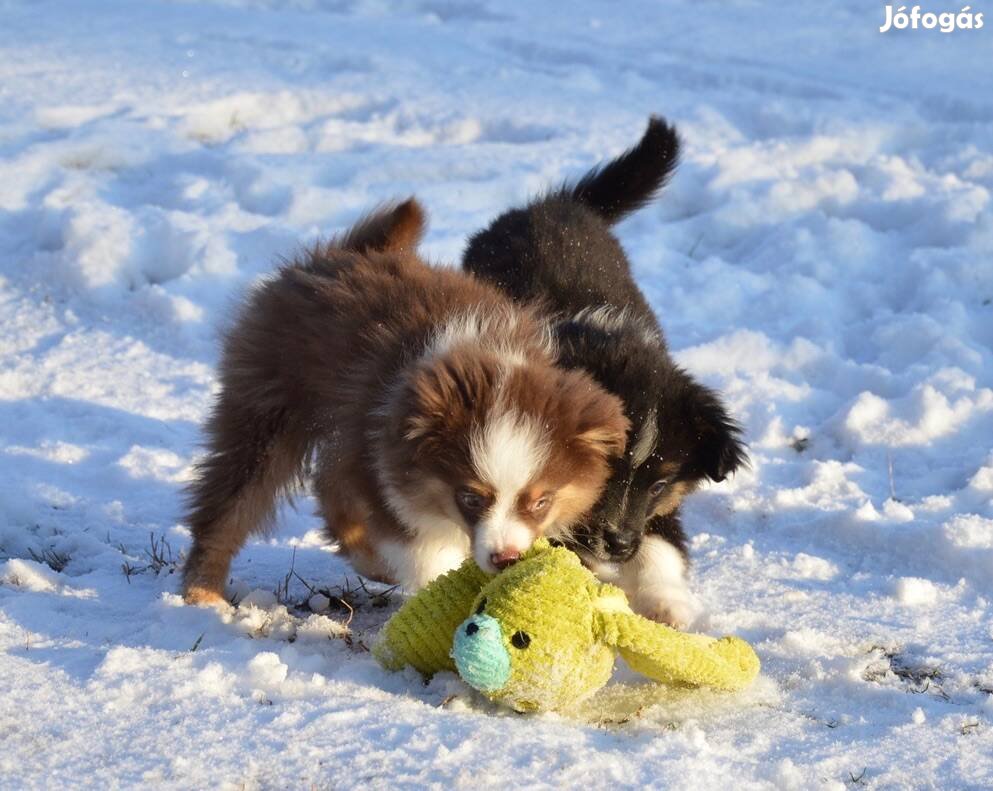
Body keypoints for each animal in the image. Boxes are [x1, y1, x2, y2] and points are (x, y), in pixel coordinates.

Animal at [181, 200, 624, 608]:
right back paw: (204, 593)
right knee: (231, 501)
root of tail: (340, 255)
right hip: (270, 402)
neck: (484, 359)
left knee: (327, 487)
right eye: (470, 498)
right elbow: (421, 552)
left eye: (541, 501)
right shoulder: (383, 458)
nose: (506, 559)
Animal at [464, 117, 744, 624]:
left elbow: (663, 544)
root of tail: (556, 205)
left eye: (659, 482)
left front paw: (666, 604)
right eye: (603, 473)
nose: (618, 544)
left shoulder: (657, 507)